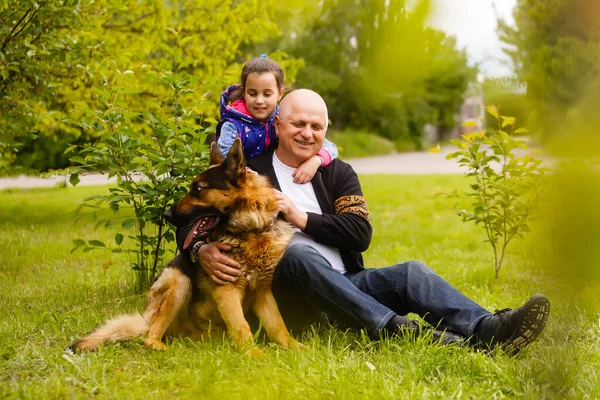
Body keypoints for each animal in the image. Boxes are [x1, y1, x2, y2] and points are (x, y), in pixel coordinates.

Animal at [70, 138, 304, 356]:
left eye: (198, 189)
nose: (166, 215)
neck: (250, 231)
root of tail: (146, 320)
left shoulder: (263, 294)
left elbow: (278, 326)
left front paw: (295, 349)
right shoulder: (227, 291)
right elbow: (241, 325)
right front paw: (253, 355)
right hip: (180, 281)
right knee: (149, 337)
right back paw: (161, 347)